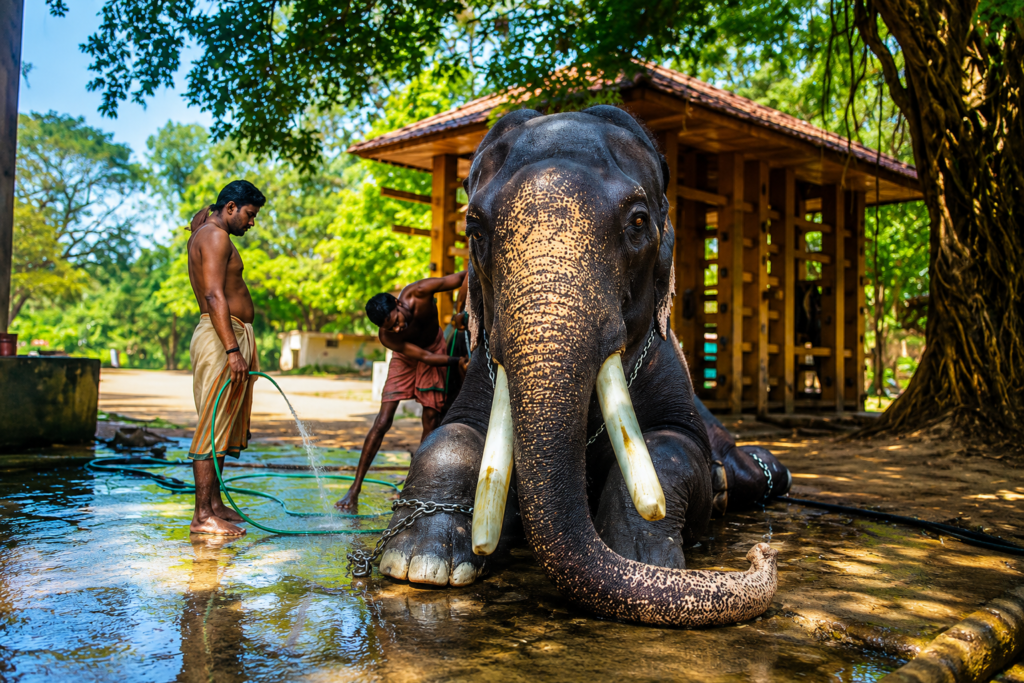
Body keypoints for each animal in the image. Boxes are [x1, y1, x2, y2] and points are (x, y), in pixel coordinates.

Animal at [373, 106, 792, 627]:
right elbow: (453, 433)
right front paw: (419, 562)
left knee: (751, 469)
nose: (760, 553)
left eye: (638, 222)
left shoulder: (669, 374)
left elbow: (674, 446)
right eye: (474, 230)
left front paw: (644, 559)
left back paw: (737, 481)